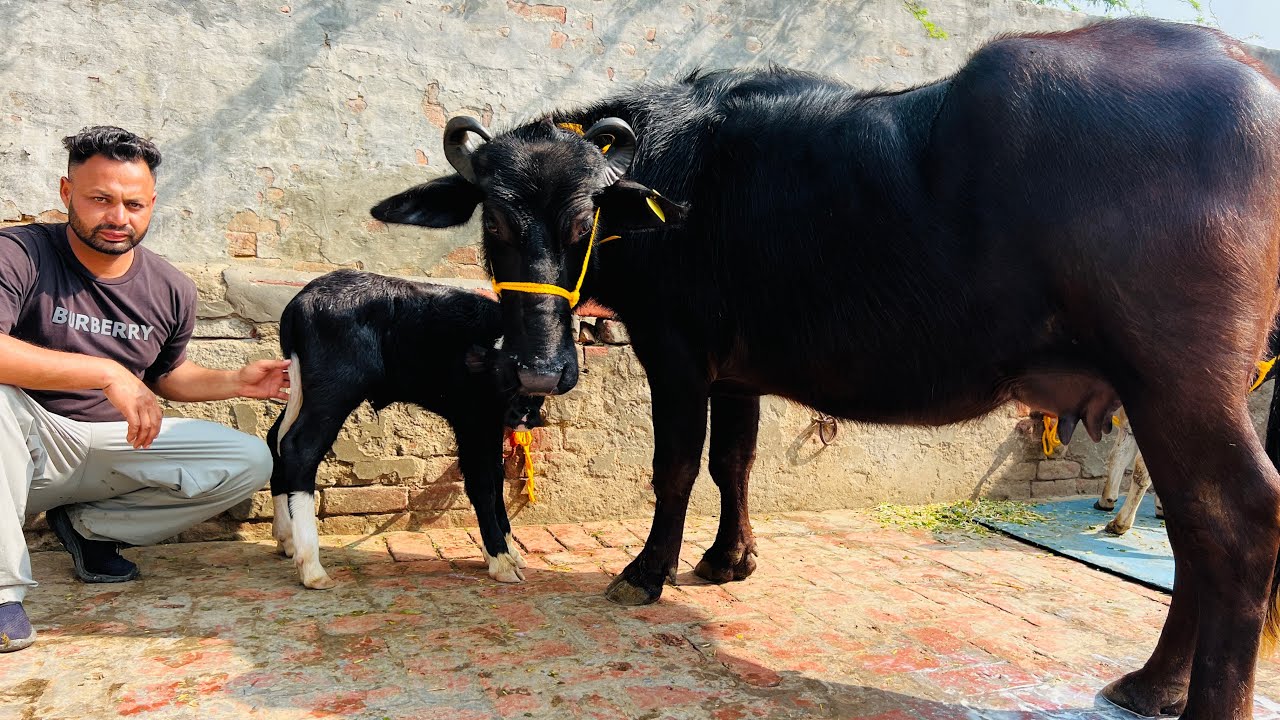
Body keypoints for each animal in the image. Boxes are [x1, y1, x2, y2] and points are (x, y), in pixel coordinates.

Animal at [265, 270, 543, 589]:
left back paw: (286, 540)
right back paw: (312, 569)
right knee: (299, 447)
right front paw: (501, 562)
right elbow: (483, 482)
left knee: (276, 437)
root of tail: (301, 300)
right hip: (334, 387)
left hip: (305, 389)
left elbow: (497, 477)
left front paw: (510, 553)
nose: (525, 414)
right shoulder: (470, 418)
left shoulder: (489, 422)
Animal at [371, 19, 1280, 719]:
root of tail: (1252, 72)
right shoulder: (735, 373)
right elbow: (734, 463)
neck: (676, 179)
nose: (536, 371)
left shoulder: (675, 352)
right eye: (493, 218)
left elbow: (676, 467)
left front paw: (647, 571)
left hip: (1179, 384)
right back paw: (1150, 685)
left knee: (1235, 521)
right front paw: (727, 560)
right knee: (1190, 527)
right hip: (1169, 396)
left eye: (586, 217)